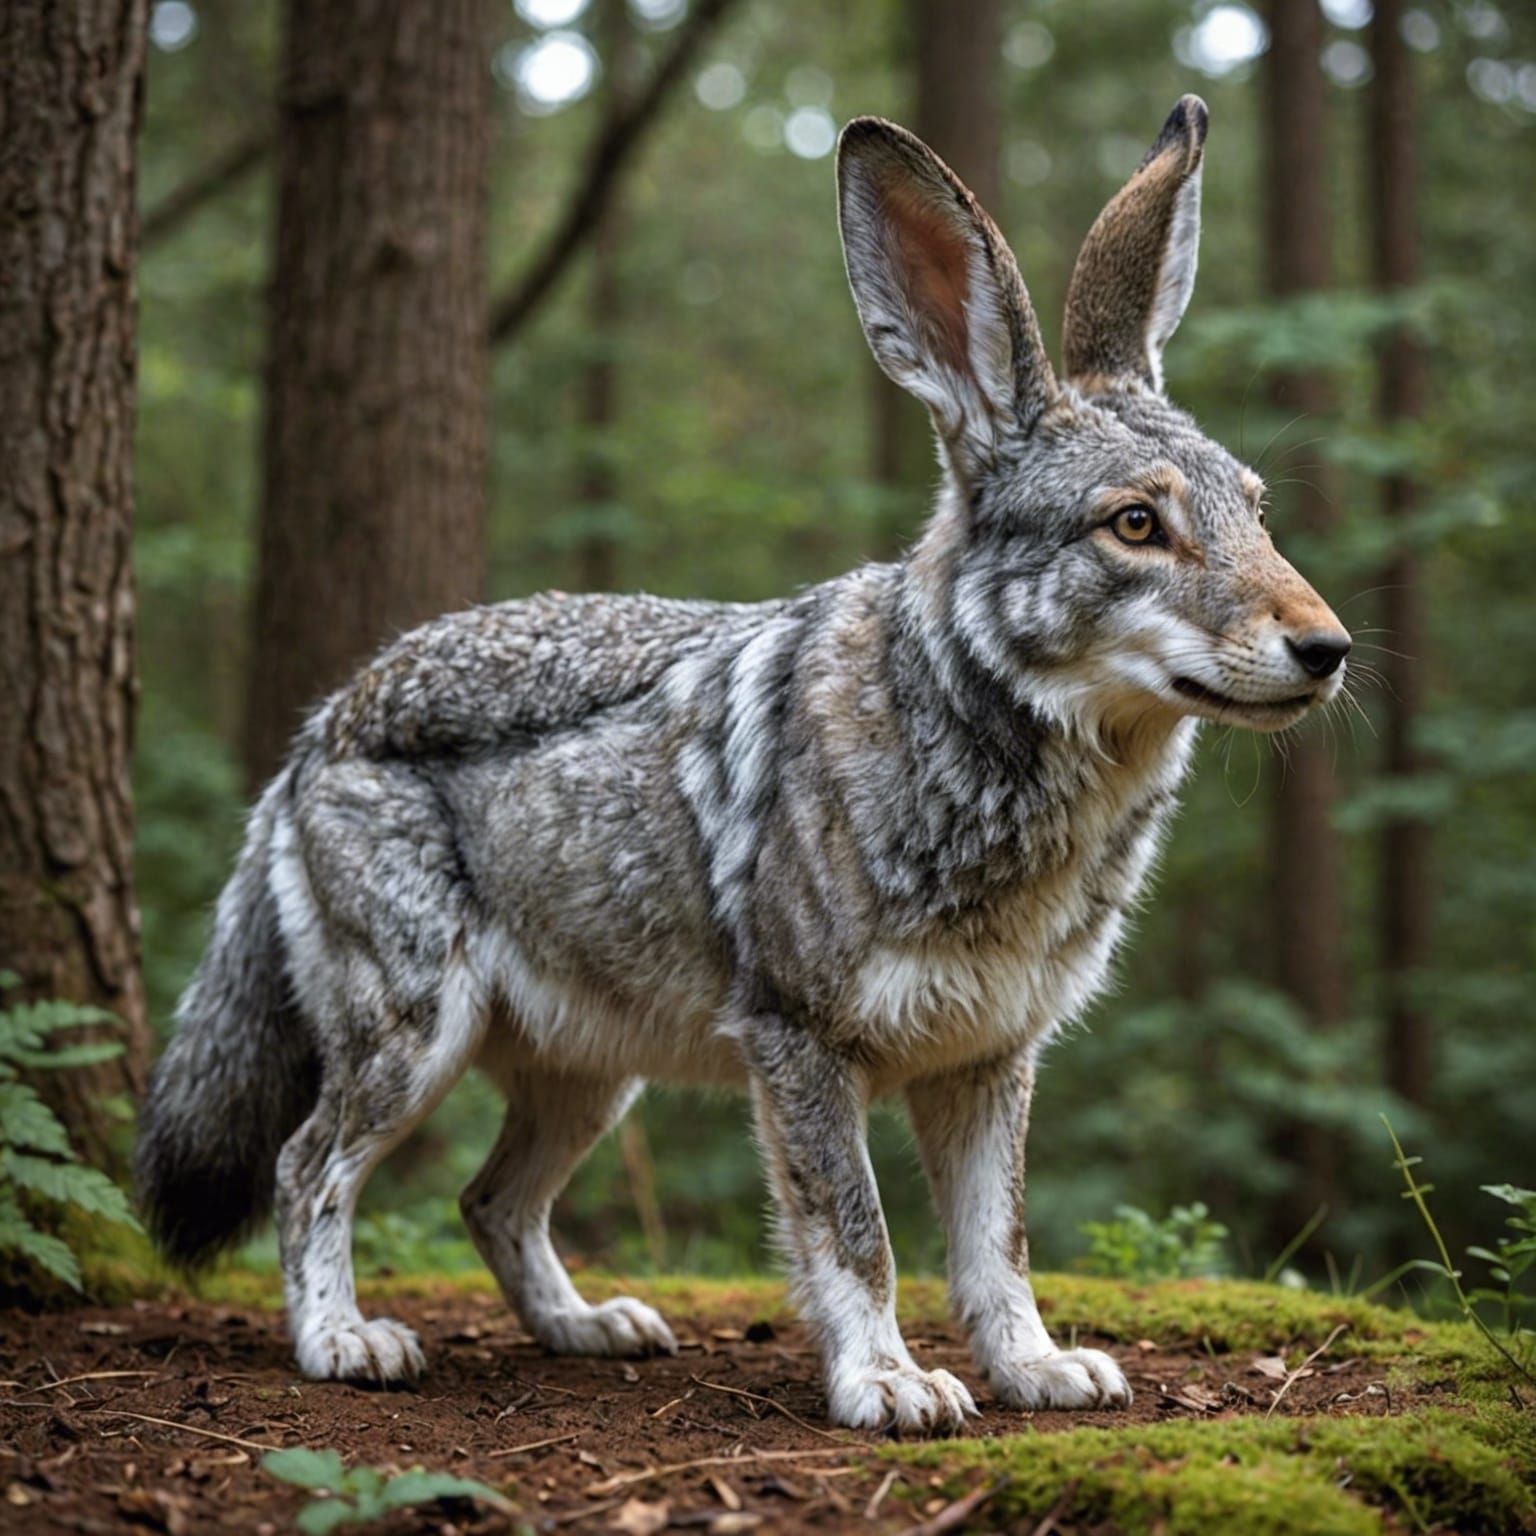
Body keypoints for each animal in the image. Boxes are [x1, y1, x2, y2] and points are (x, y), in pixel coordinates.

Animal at [138, 97, 1350, 1433]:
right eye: (1138, 525)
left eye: (1259, 513)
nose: (1330, 647)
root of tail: (327, 720)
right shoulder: (800, 1043)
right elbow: (861, 1240)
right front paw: (888, 1382)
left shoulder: (990, 1060)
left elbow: (999, 1248)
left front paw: (1033, 1368)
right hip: (414, 1044)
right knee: (308, 1169)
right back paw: (341, 1340)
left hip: (590, 1083)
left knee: (487, 1203)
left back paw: (583, 1327)